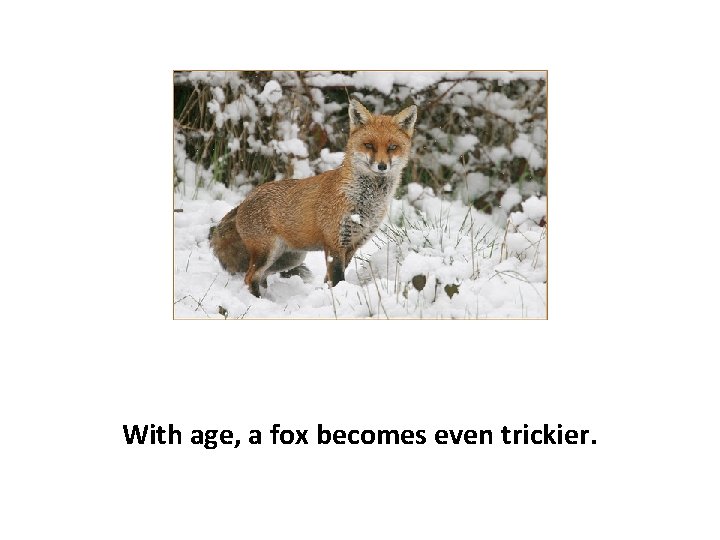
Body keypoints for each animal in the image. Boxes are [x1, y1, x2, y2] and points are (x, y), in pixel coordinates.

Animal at [209, 99, 417, 297]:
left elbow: (330, 280)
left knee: (260, 277)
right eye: (369, 145)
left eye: (392, 147)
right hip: (267, 253)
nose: (382, 166)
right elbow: (337, 278)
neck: (365, 202)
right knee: (250, 277)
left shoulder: (352, 246)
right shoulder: (334, 244)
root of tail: (243, 201)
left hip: (288, 259)